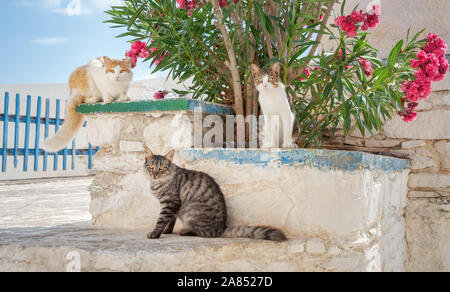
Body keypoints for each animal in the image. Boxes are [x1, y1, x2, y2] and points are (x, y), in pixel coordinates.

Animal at [142, 148, 286, 242]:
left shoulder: (170, 202)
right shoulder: (172, 206)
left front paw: (155, 233)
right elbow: (170, 221)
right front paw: (167, 231)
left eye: (161, 168)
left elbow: (161, 220)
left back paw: (185, 231)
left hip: (192, 212)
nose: (154, 174)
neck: (156, 183)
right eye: (150, 167)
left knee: (205, 233)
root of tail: (221, 228)